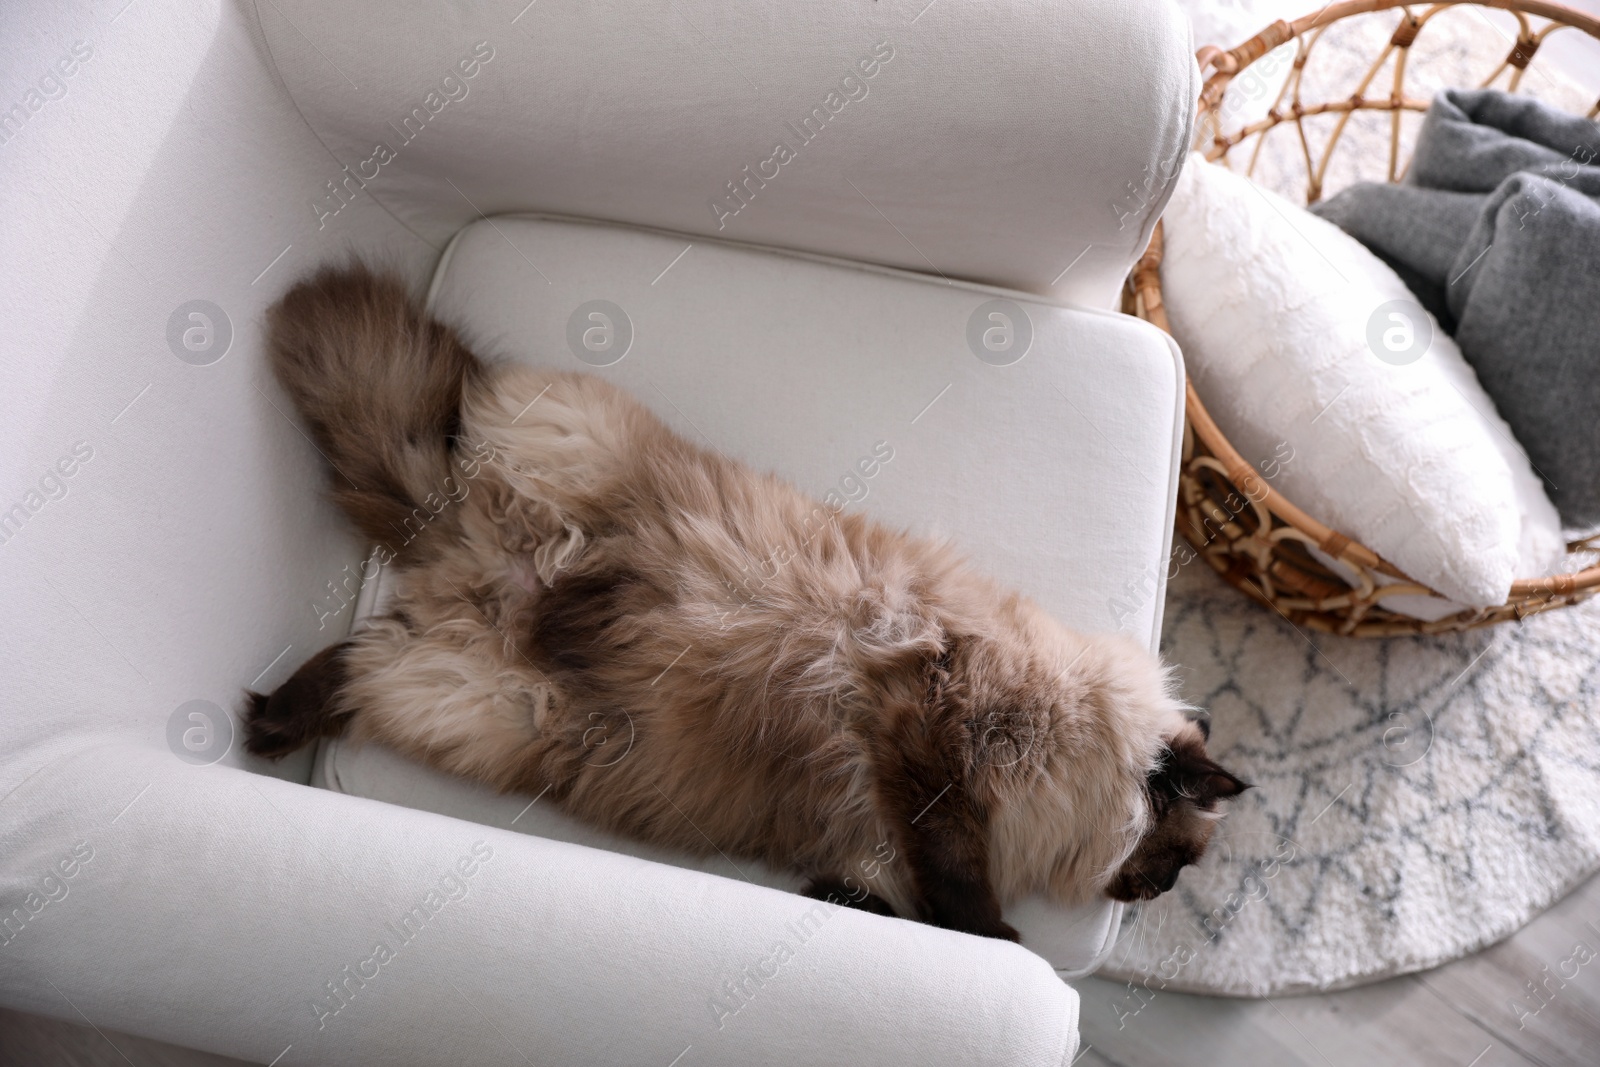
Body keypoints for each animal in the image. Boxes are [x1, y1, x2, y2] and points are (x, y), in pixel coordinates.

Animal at [246, 262, 1248, 940]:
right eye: (1171, 862)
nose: (1154, 895)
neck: (1061, 744)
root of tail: (462, 554)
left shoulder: (877, 850)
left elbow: (902, 906)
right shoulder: (931, 729)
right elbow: (965, 890)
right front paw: (1008, 940)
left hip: (481, 704)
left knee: (354, 664)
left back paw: (265, 721)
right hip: (565, 461)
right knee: (447, 399)